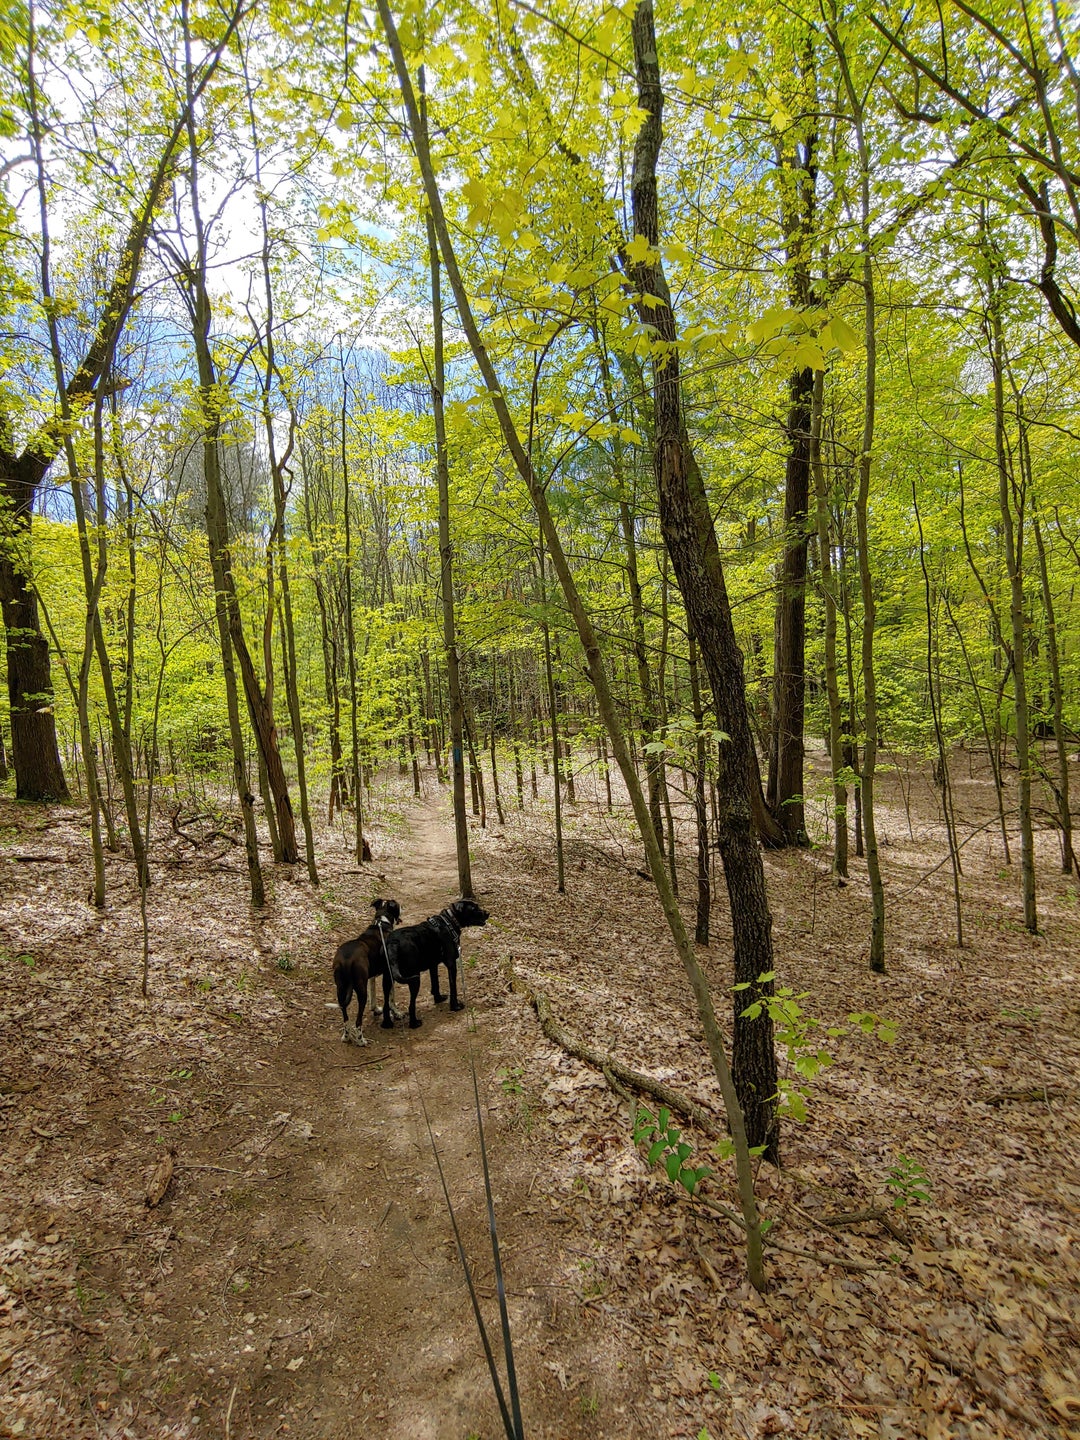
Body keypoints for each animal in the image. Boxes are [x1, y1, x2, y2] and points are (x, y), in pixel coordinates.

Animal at [334, 898, 403, 1048]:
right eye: (398, 905)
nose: (403, 907)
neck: (382, 923)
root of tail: (347, 959)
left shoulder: (371, 977)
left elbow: (374, 994)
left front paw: (376, 1009)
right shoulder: (388, 974)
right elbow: (391, 997)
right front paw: (396, 1013)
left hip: (341, 990)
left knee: (345, 1016)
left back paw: (346, 1036)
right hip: (361, 990)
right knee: (358, 1021)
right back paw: (361, 1040)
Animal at [380, 892, 489, 1031]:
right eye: (474, 908)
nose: (487, 913)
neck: (450, 921)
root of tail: (393, 943)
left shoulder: (433, 965)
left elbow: (435, 983)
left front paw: (438, 998)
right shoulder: (451, 964)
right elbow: (453, 987)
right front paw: (455, 1006)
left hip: (387, 978)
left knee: (385, 1003)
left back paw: (387, 1023)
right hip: (414, 978)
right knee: (411, 1004)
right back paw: (414, 1023)